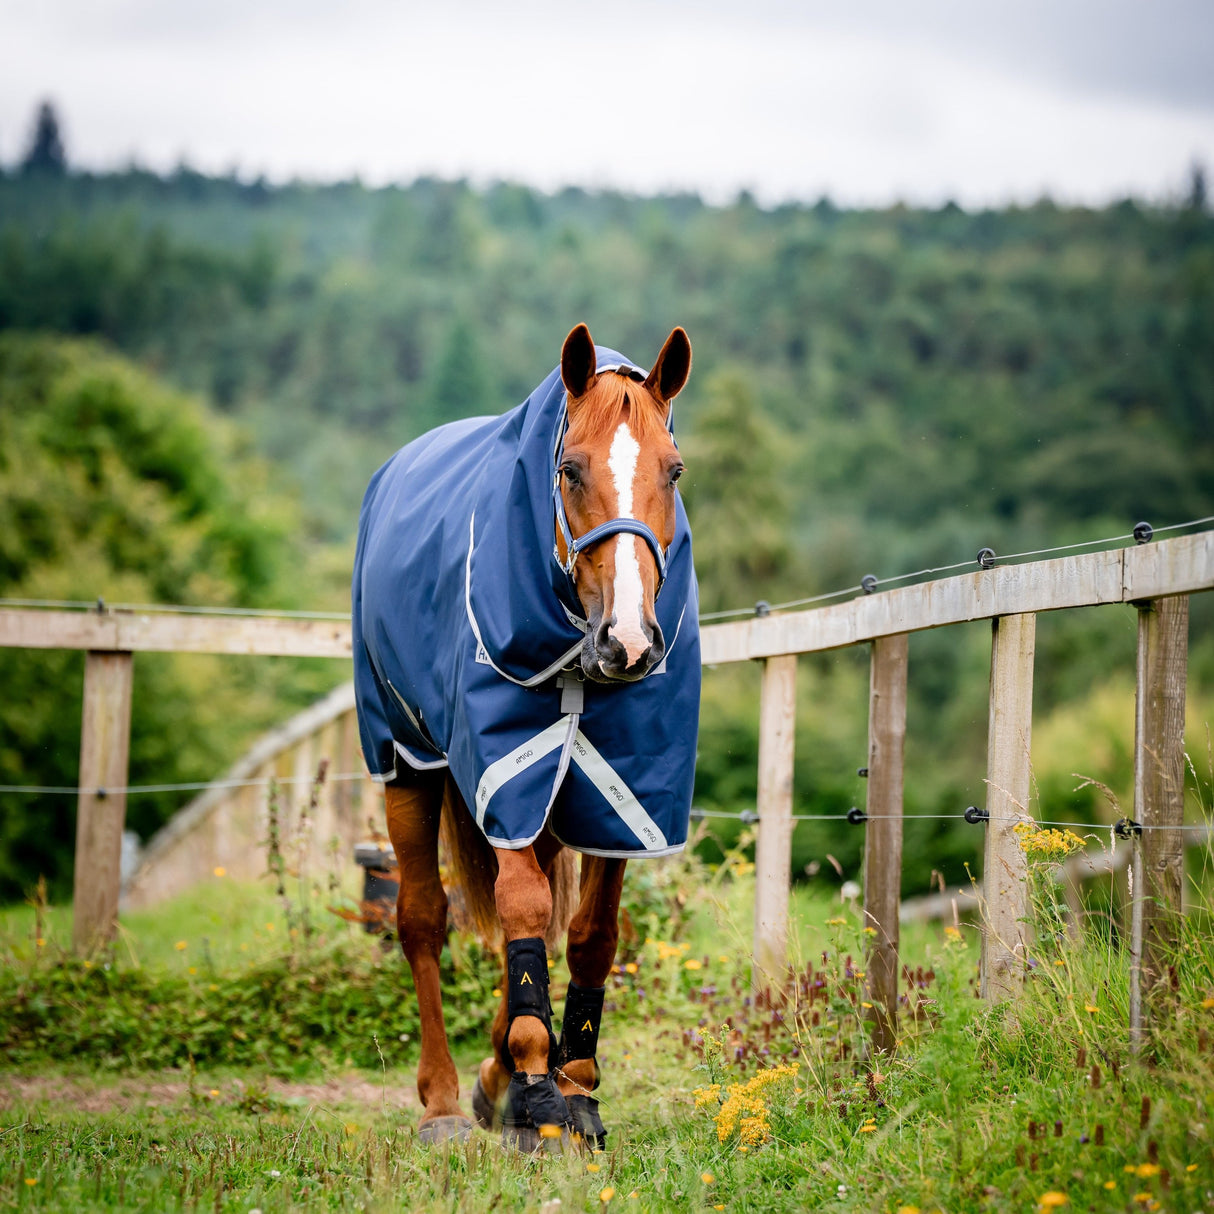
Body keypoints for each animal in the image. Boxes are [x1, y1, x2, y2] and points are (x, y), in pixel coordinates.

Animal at [352, 320, 704, 1146]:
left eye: (674, 471)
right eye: (569, 469)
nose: (630, 642)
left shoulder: (623, 794)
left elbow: (589, 934)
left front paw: (572, 1083)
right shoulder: (504, 770)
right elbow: (518, 910)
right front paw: (540, 1089)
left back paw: (494, 1073)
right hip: (408, 763)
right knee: (422, 920)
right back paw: (445, 1099)